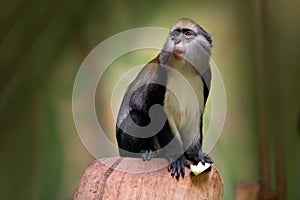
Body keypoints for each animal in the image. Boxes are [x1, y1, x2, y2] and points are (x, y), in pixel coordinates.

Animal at [115, 18, 213, 178]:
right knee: (138, 116)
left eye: (187, 34)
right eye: (176, 33)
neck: (183, 68)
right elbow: (157, 112)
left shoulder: (206, 74)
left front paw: (196, 155)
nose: (177, 41)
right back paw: (145, 152)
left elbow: (195, 115)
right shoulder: (160, 73)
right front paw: (177, 158)